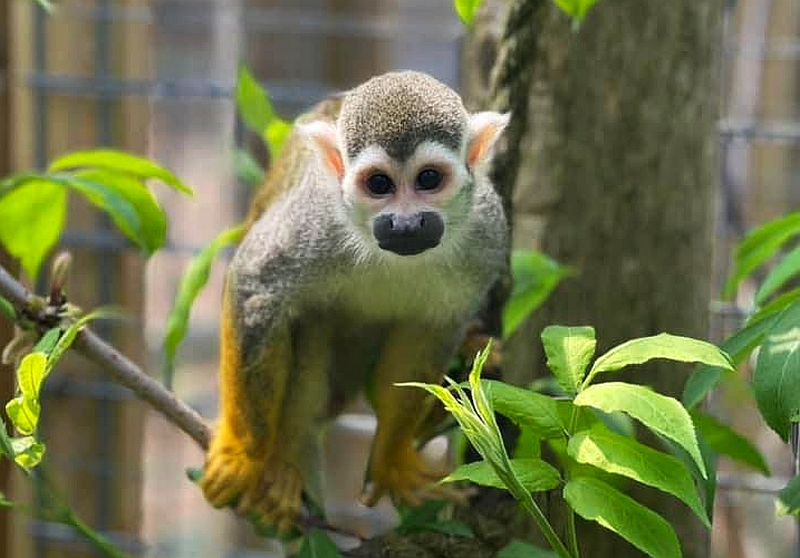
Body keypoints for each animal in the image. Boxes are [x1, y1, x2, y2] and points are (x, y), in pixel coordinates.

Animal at [203, 71, 510, 532]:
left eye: (429, 179)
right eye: (379, 184)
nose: (406, 224)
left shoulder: (485, 236)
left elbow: (429, 336)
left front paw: (393, 463)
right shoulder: (313, 220)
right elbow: (256, 287)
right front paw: (242, 454)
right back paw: (284, 463)